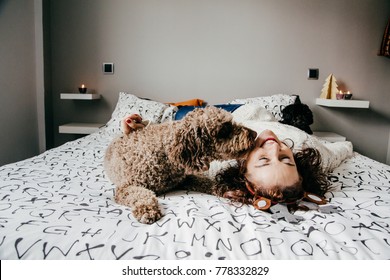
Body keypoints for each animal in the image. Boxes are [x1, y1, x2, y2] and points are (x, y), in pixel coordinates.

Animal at [104, 106, 256, 224]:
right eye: (224, 129)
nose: (254, 133)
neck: (165, 154)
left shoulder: (185, 179)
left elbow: (206, 182)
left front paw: (227, 188)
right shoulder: (125, 188)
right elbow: (141, 194)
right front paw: (147, 210)